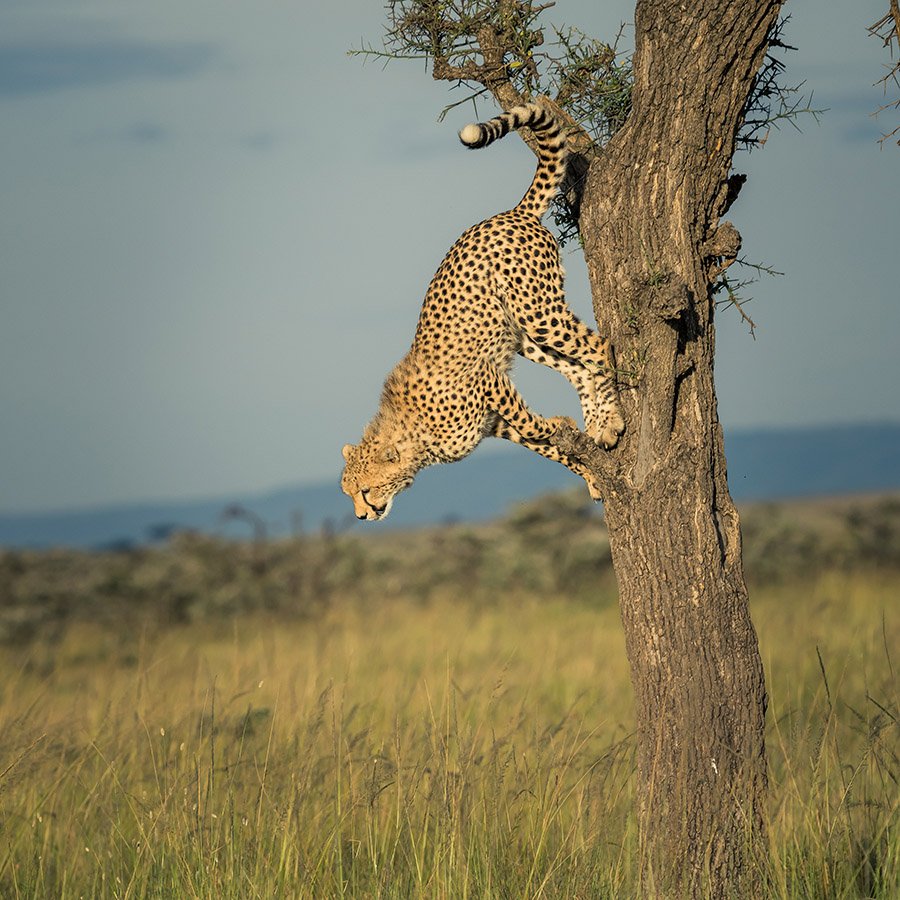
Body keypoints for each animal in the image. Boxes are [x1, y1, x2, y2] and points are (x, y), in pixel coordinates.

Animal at [342, 100, 624, 520]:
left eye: (367, 489)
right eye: (348, 493)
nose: (363, 515)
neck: (415, 439)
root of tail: (511, 213)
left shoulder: (488, 379)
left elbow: (535, 426)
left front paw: (560, 426)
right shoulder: (493, 423)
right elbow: (549, 447)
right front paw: (586, 468)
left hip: (538, 311)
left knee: (599, 346)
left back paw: (610, 421)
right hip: (523, 336)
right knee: (578, 367)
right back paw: (594, 425)